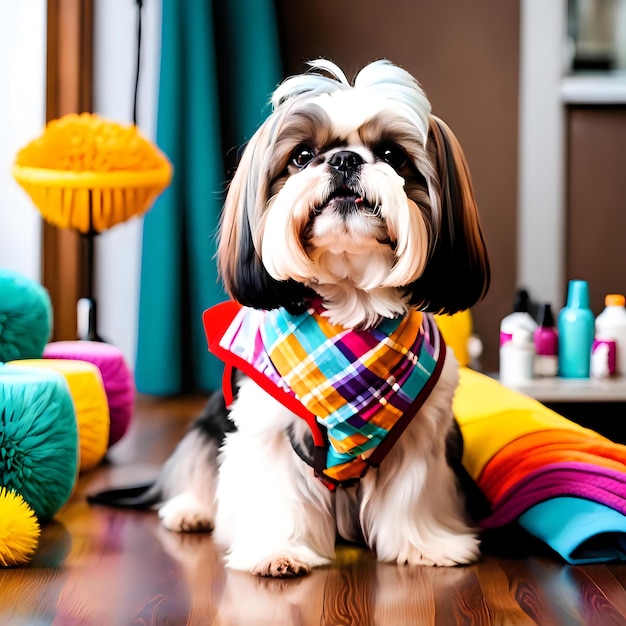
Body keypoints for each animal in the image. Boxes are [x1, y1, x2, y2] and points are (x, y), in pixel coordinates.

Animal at [91, 58, 488, 576]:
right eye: (302, 156)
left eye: (391, 154)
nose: (345, 160)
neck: (351, 314)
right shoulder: (268, 427)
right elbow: (276, 492)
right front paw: (277, 551)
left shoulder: (419, 435)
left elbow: (411, 496)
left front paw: (424, 545)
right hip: (206, 426)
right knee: (197, 464)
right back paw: (190, 510)